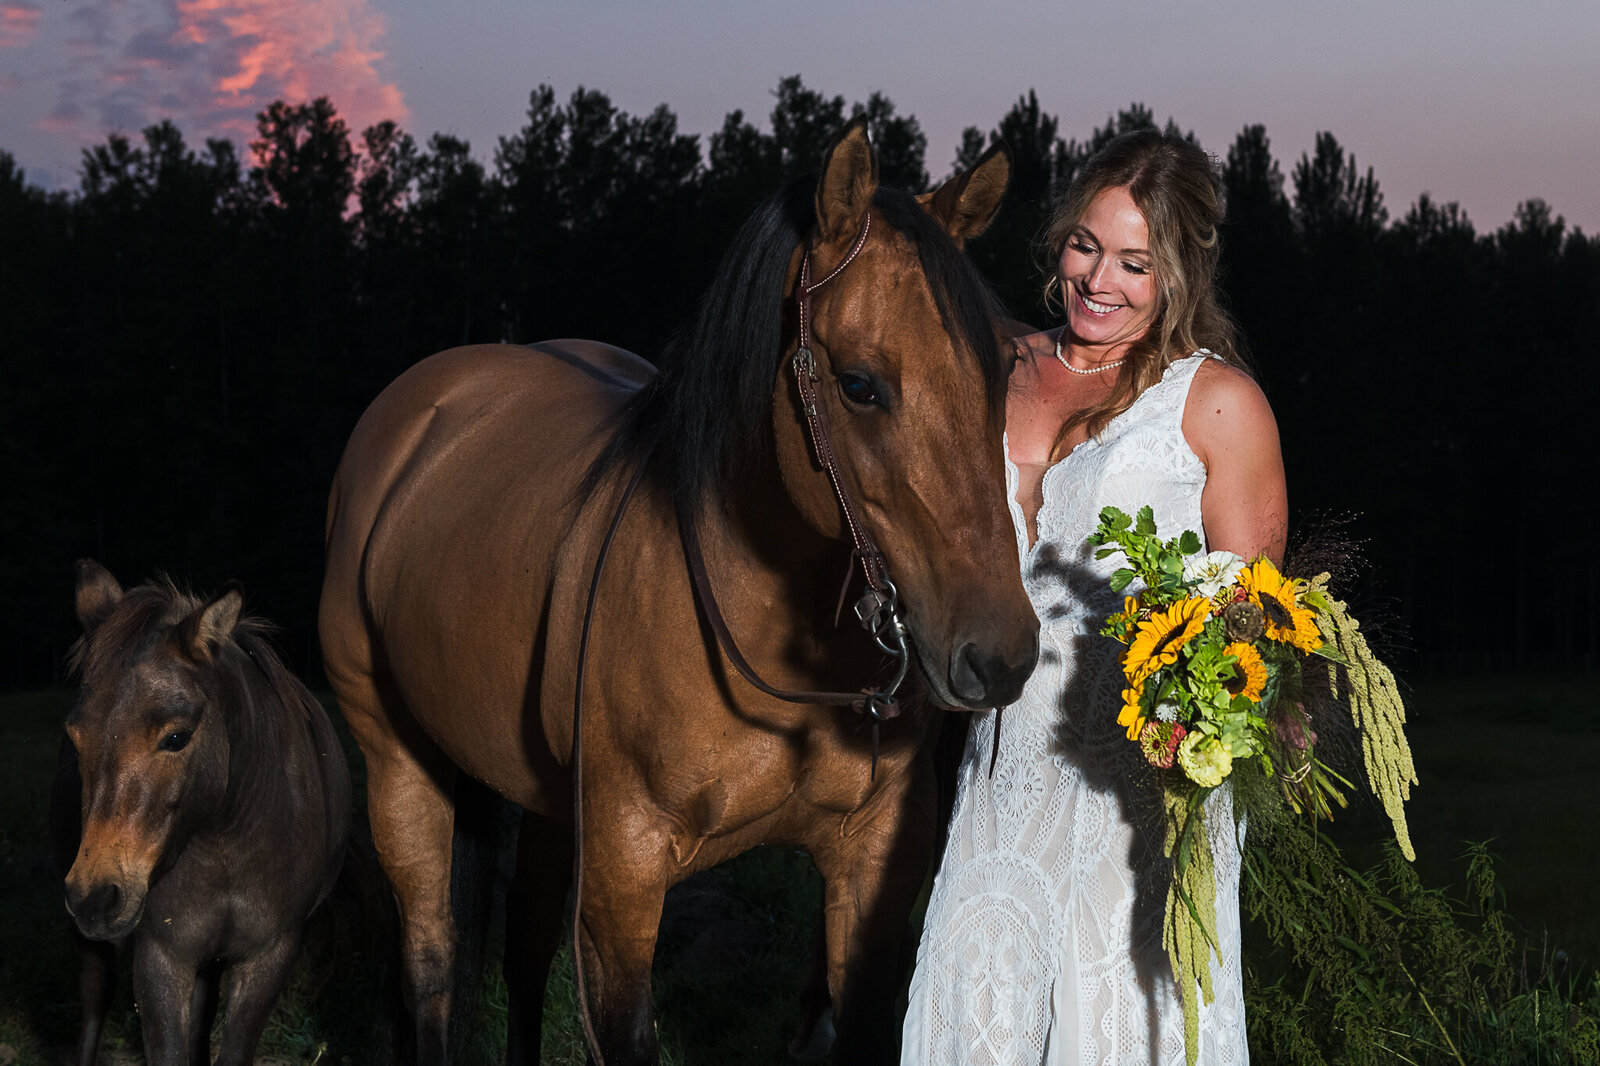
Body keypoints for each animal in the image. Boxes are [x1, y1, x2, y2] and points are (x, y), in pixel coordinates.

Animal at [55, 560, 350, 1056]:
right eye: (75, 739)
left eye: (176, 737)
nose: (94, 898)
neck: (223, 842)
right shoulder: (162, 957)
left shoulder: (267, 958)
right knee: (94, 999)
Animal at [320, 120, 1043, 1056]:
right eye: (859, 384)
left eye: (1004, 372)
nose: (999, 656)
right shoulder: (624, 878)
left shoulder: (873, 861)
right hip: (398, 762)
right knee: (431, 963)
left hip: (545, 801)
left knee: (521, 951)